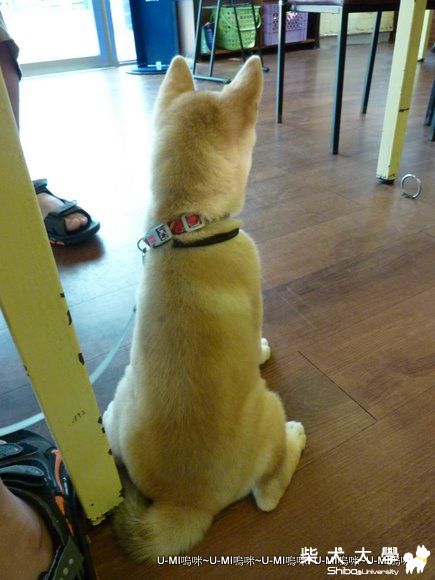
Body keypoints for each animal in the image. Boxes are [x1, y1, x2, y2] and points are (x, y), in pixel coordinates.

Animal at [103, 55, 306, 561]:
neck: (186, 227)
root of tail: (186, 502)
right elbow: (258, 342)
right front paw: (262, 350)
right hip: (269, 408)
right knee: (268, 495)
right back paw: (295, 438)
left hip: (121, 396)